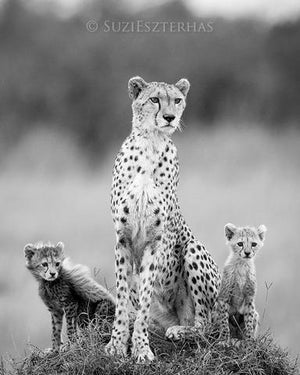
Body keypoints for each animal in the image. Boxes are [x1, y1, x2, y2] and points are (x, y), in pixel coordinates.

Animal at [105, 75, 220, 362]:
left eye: (177, 100)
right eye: (155, 99)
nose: (169, 117)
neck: (152, 144)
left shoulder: (154, 241)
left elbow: (145, 297)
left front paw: (141, 348)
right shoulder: (122, 238)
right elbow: (123, 297)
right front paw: (117, 344)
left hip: (192, 248)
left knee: (205, 325)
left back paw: (180, 332)